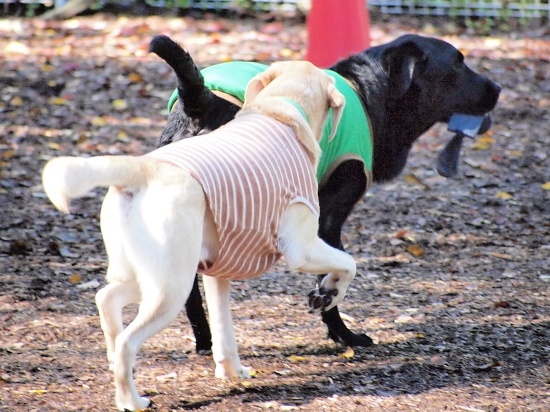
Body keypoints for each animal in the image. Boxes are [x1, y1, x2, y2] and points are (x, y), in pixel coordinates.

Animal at [149, 33, 502, 352]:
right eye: (457, 64)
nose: (498, 88)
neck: (370, 95)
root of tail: (200, 100)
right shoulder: (327, 220)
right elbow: (334, 273)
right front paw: (342, 330)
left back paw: (204, 341)